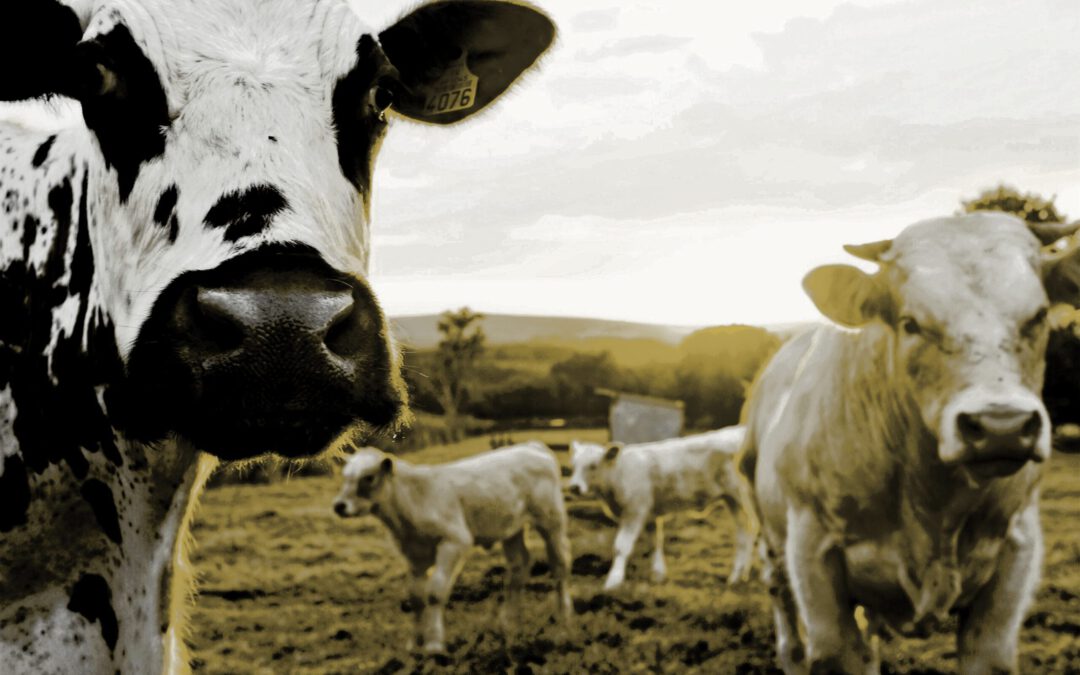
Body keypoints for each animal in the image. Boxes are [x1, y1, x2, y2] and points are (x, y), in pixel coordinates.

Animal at [332, 443, 574, 655]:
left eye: (368, 477)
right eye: (345, 476)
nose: (339, 506)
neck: (412, 501)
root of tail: (532, 446)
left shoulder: (455, 540)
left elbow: (435, 593)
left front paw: (434, 643)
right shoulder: (413, 554)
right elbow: (415, 596)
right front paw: (415, 643)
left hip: (551, 520)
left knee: (559, 564)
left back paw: (563, 623)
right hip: (511, 528)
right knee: (518, 564)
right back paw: (510, 623)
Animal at [567, 426, 757, 591]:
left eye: (593, 465)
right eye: (574, 465)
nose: (574, 487)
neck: (618, 474)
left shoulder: (635, 510)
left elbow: (621, 546)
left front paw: (613, 582)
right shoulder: (650, 513)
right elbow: (655, 542)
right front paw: (658, 574)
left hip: (743, 495)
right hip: (732, 500)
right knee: (743, 532)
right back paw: (737, 577)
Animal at [739, 213, 1080, 674]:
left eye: (1039, 315)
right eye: (910, 323)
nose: (1001, 426)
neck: (933, 503)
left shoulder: (1015, 552)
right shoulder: (813, 556)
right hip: (772, 549)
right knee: (788, 630)